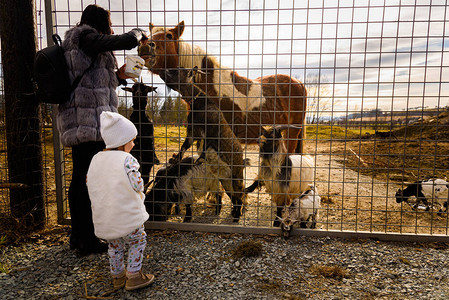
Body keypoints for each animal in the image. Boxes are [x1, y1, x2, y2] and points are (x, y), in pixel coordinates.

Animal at [160, 68, 247, 223]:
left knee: (240, 196)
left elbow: (204, 149)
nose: (163, 70)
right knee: (234, 197)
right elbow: (184, 147)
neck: (199, 104)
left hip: (236, 177)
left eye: (177, 71)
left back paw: (237, 216)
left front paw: (198, 160)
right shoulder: (192, 133)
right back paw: (234, 213)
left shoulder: (208, 133)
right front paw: (174, 159)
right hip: (225, 181)